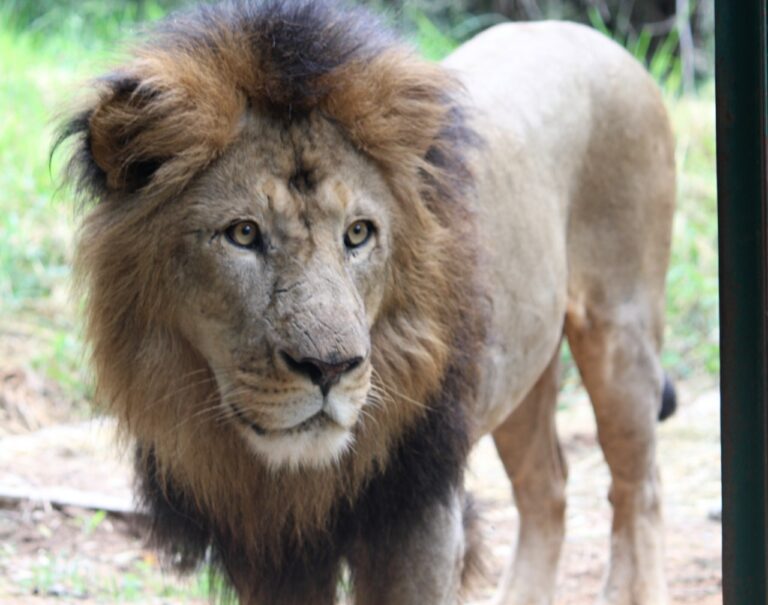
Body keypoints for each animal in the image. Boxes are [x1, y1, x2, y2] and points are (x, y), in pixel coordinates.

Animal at [57, 1, 676, 604]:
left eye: (357, 233)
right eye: (243, 234)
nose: (330, 368)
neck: (287, 477)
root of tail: (596, 39)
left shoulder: (417, 517)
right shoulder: (270, 547)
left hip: (619, 333)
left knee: (639, 489)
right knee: (546, 487)